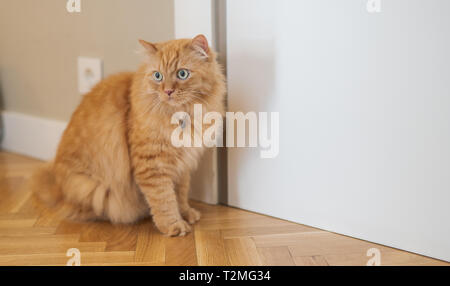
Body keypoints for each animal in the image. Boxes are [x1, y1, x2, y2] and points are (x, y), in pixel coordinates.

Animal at [29, 35, 225, 237]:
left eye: (182, 74)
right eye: (158, 76)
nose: (167, 91)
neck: (182, 115)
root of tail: (56, 185)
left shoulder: (182, 165)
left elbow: (180, 195)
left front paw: (186, 213)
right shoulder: (153, 165)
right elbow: (165, 200)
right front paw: (173, 225)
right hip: (95, 190)